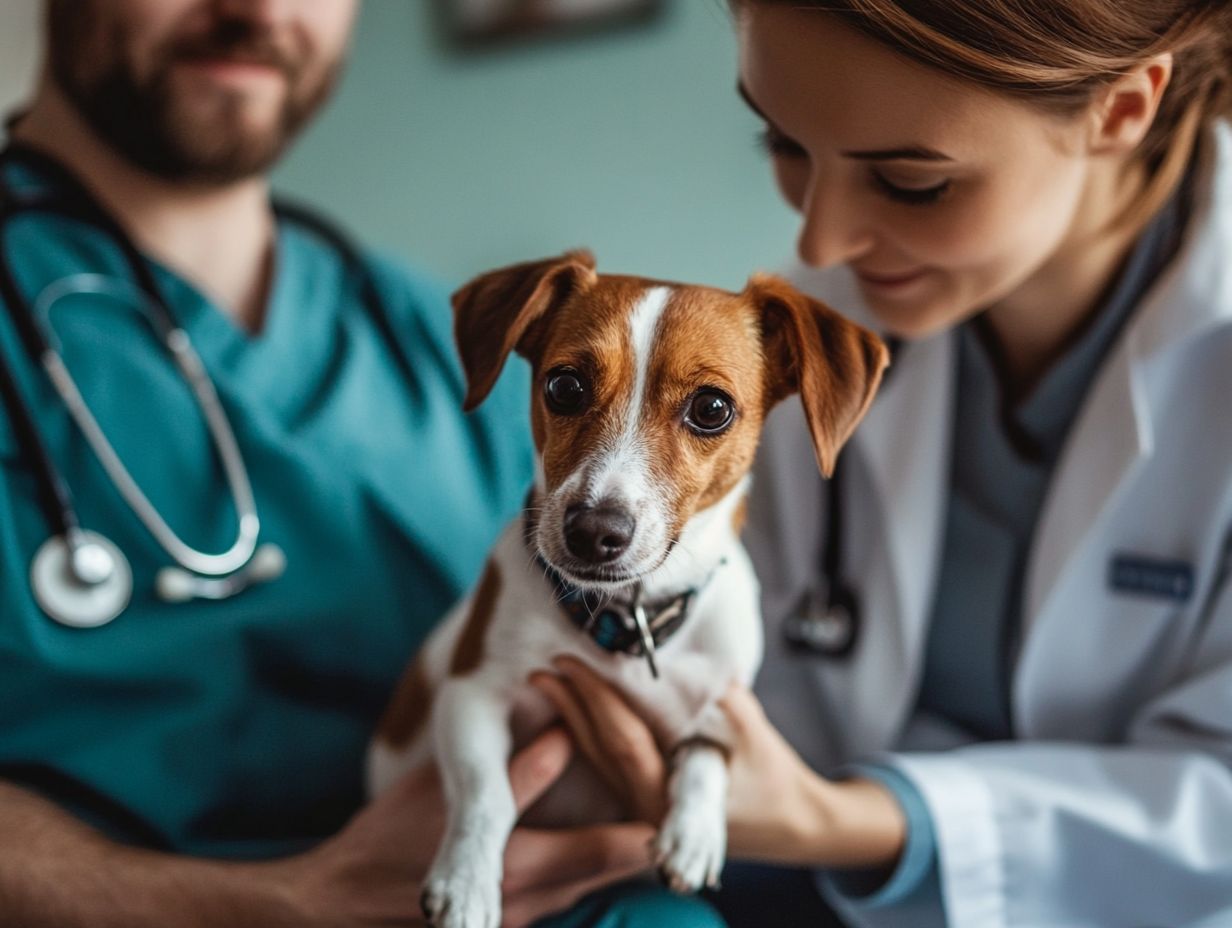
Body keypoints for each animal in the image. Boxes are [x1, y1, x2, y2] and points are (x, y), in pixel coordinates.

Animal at [364, 250, 887, 926]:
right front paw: (467, 879)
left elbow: (708, 752)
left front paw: (695, 832)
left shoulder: (726, 702)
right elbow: (487, 792)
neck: (629, 615)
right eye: (564, 386)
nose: (593, 531)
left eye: (712, 408)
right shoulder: (472, 691)